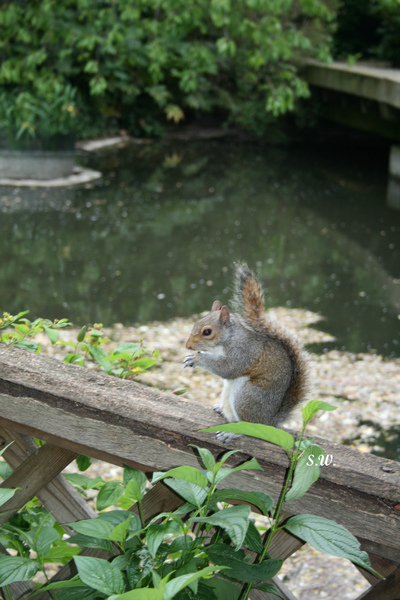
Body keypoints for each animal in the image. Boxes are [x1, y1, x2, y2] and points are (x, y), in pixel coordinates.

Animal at [184, 262, 310, 440]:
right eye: (195, 323)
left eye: (207, 331)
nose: (188, 346)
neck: (226, 340)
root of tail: (270, 421)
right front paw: (192, 356)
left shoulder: (242, 352)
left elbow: (228, 369)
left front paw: (196, 359)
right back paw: (222, 409)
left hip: (247, 396)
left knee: (251, 427)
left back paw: (233, 433)